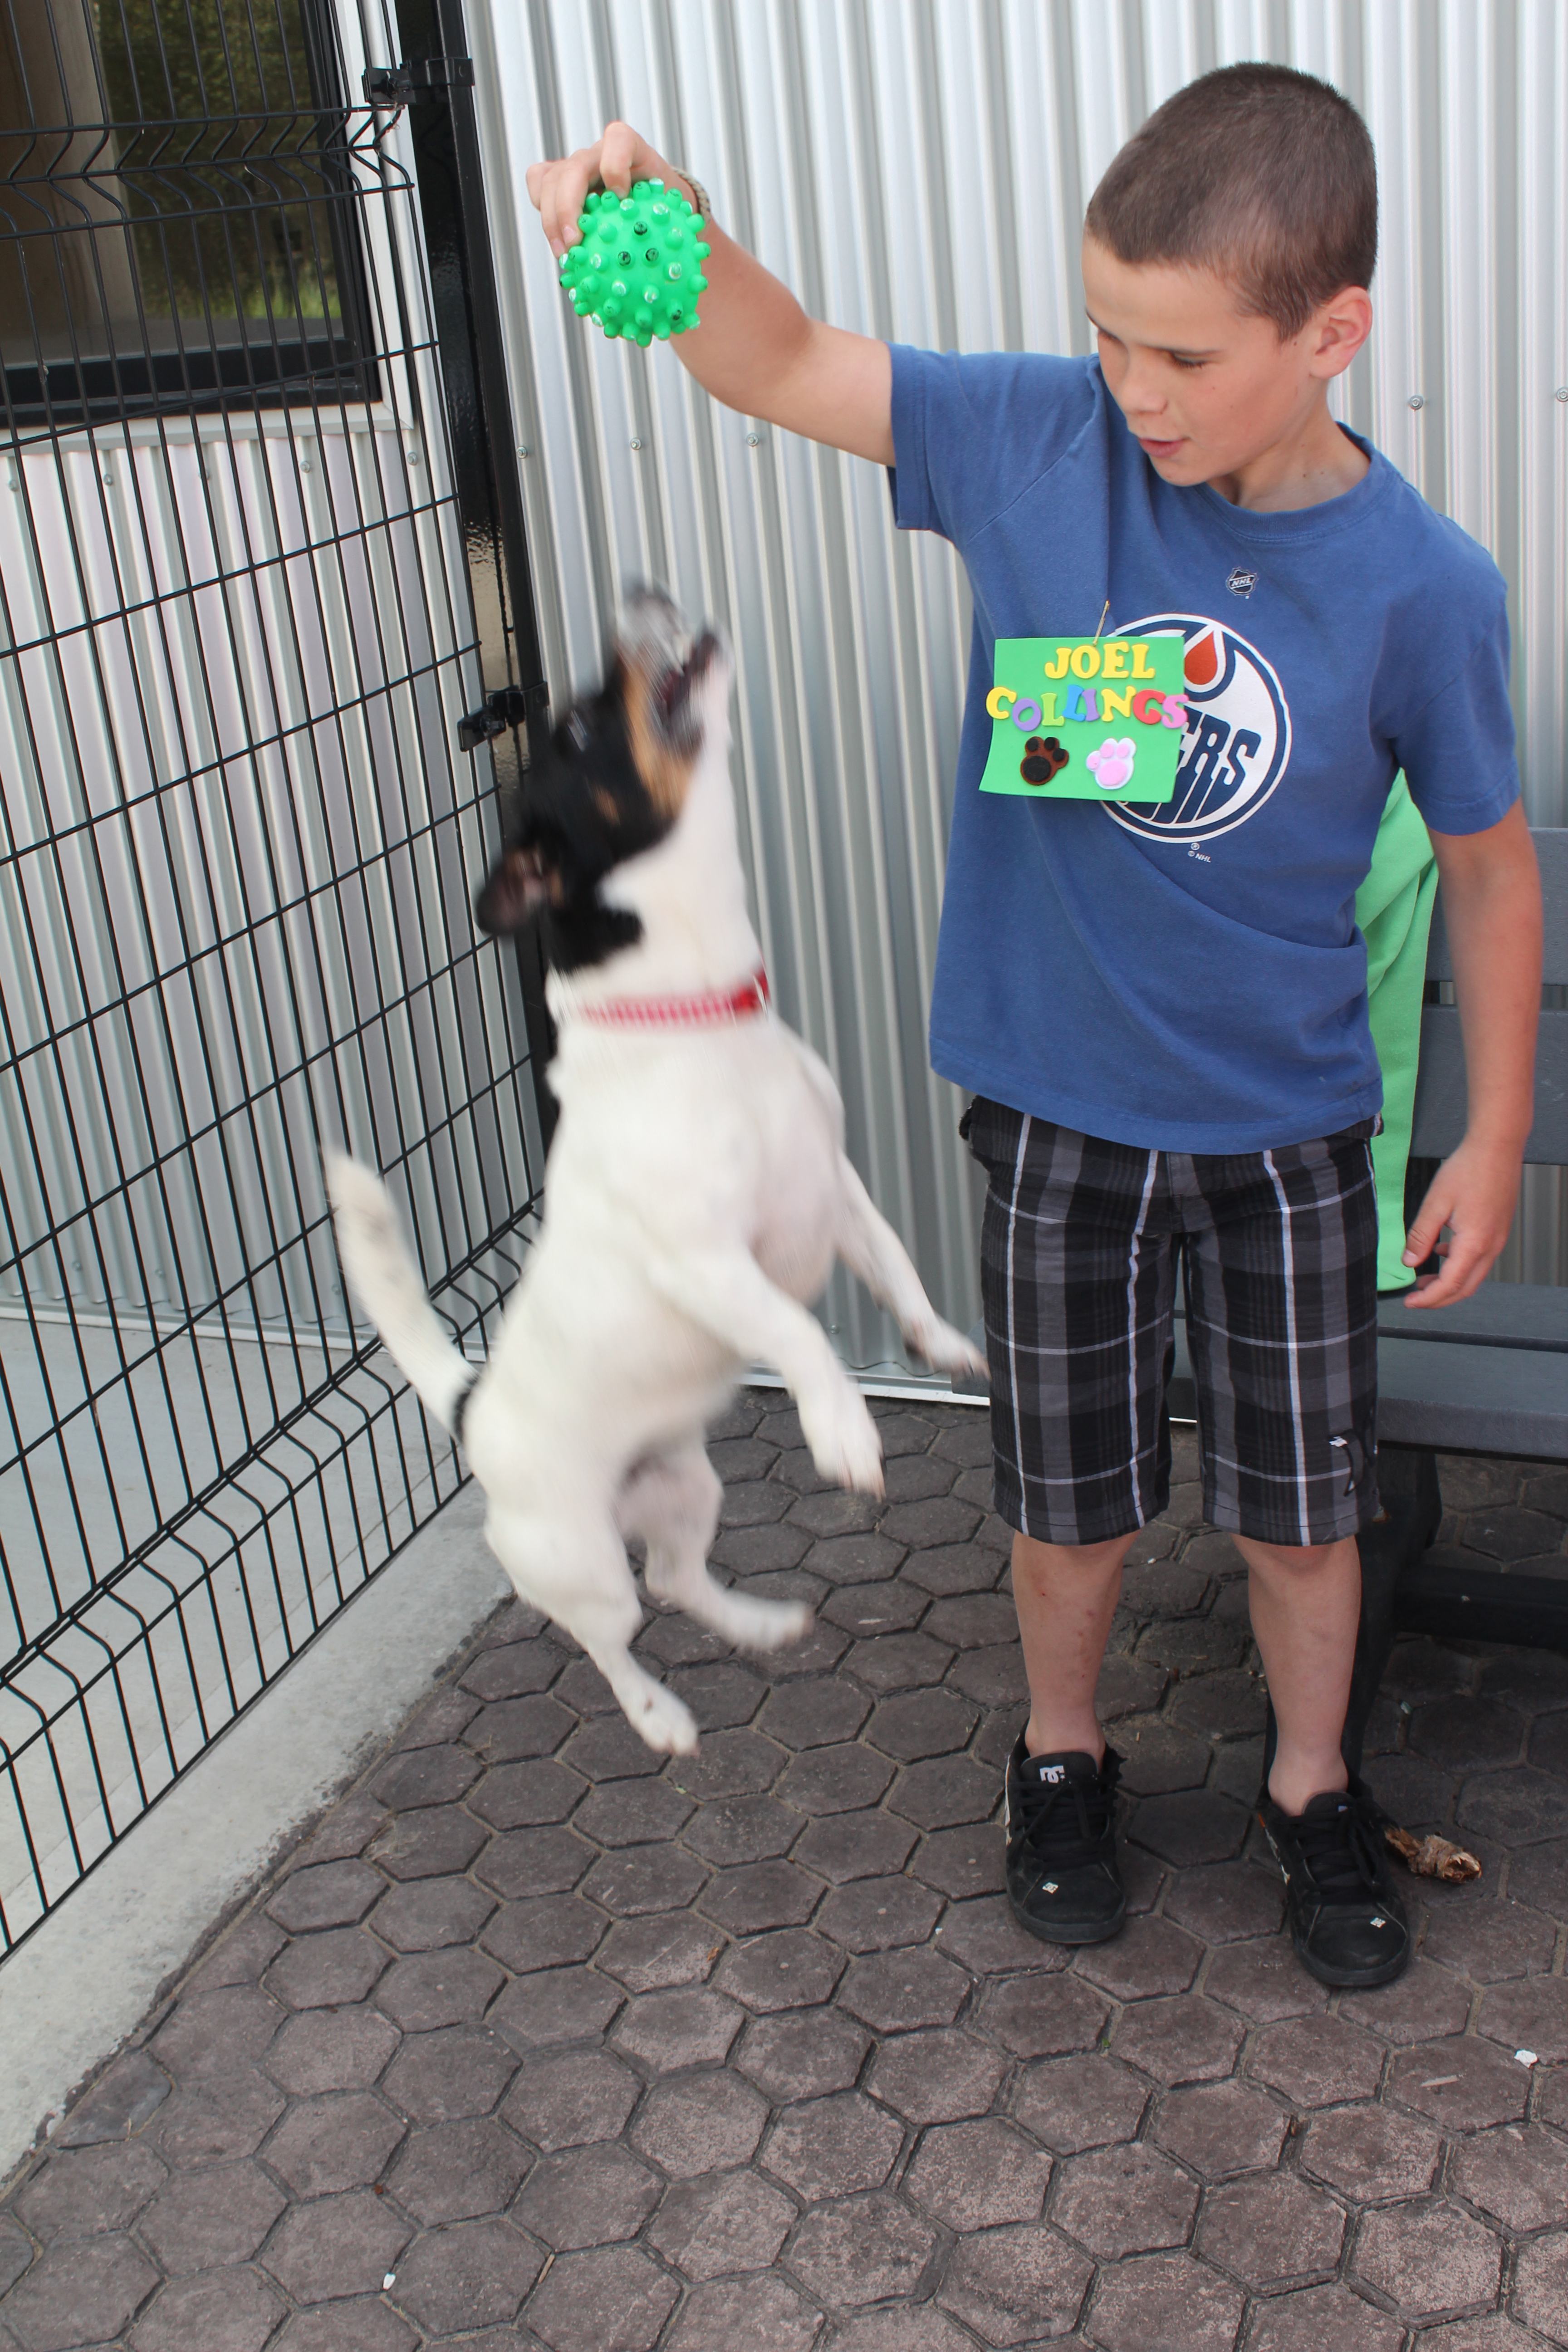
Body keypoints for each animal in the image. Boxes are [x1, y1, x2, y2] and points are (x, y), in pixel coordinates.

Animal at [329, 597, 982, 1759]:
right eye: (583, 729)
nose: (638, 590)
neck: (704, 1024)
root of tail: (470, 1404)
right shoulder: (709, 1260)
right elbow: (797, 1330)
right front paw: (842, 1427)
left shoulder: (839, 1186)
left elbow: (898, 1266)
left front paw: (939, 1341)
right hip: (577, 1557)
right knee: (615, 1630)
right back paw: (657, 1713)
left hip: (685, 1483)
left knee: (678, 1579)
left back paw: (759, 1623)